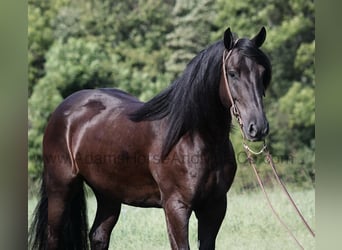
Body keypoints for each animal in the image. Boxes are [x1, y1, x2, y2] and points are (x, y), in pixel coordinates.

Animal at [29, 26, 270, 249]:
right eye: (232, 73)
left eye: (262, 73)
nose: (257, 127)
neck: (194, 137)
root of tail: (64, 109)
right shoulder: (176, 206)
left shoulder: (215, 207)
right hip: (60, 188)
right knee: (53, 237)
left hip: (108, 194)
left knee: (98, 235)